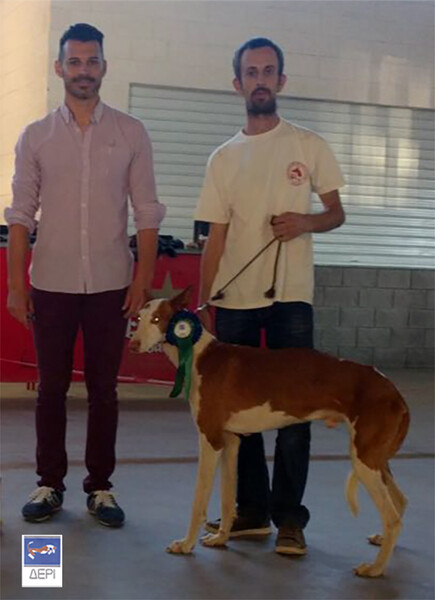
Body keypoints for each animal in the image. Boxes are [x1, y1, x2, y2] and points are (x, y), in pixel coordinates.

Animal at [129, 287, 410, 577]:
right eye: (138, 317)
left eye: (158, 319)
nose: (133, 345)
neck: (198, 355)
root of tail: (393, 390)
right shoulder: (230, 441)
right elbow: (228, 499)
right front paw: (221, 538)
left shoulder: (210, 439)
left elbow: (199, 499)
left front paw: (186, 545)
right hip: (374, 457)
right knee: (401, 502)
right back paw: (383, 542)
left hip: (364, 459)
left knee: (393, 518)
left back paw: (375, 568)